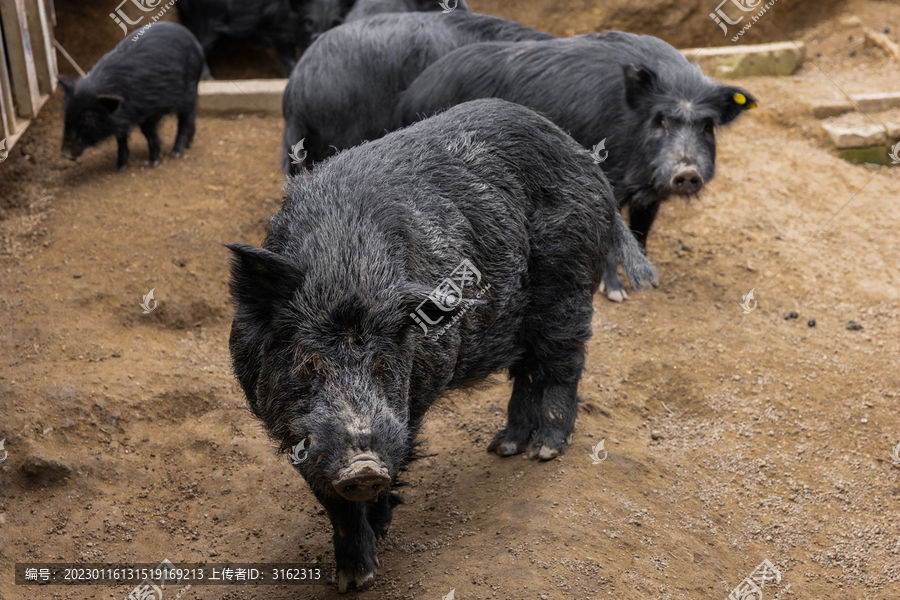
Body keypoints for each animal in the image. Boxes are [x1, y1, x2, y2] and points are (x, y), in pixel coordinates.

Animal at [60, 21, 205, 171]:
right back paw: (189, 144)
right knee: (192, 115)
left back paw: (176, 153)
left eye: (88, 120)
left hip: (188, 91)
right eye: (67, 114)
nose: (64, 154)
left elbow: (149, 134)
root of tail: (196, 44)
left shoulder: (148, 111)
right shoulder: (121, 116)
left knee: (184, 119)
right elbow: (120, 138)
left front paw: (153, 163)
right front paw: (120, 168)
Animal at [229, 98, 652, 592]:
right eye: (311, 364)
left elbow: (399, 451)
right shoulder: (287, 421)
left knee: (566, 363)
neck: (346, 269)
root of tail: (584, 159)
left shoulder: (416, 392)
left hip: (571, 285)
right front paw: (352, 580)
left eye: (383, 365)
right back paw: (504, 447)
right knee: (528, 371)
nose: (363, 465)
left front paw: (373, 551)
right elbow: (330, 497)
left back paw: (545, 451)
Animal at [398, 32, 756, 302]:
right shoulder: (609, 179)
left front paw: (648, 282)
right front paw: (615, 294)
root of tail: (412, 90)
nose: (687, 172)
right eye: (661, 120)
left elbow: (642, 229)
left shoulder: (652, 191)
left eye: (707, 126)